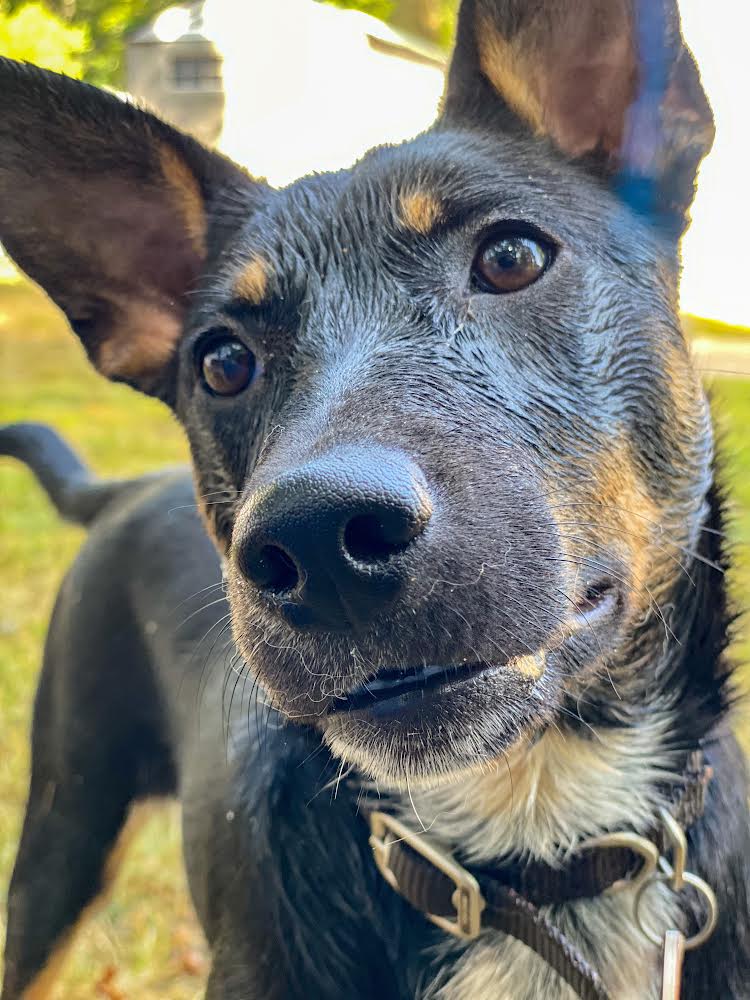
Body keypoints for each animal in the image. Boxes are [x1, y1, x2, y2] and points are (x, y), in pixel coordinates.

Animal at [1, 0, 750, 996]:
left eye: (512, 256)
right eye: (222, 362)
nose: (318, 541)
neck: (529, 861)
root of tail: (118, 491)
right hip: (66, 821)